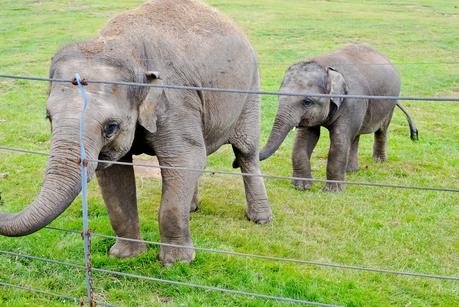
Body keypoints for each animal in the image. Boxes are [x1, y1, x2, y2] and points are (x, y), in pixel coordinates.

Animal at [0, 0, 274, 266]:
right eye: (48, 118)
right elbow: (114, 174)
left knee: (245, 152)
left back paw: (259, 219)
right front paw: (125, 256)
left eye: (111, 127)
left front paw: (176, 263)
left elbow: (184, 159)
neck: (122, 45)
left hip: (251, 90)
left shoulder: (175, 101)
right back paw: (192, 209)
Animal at [258, 44, 416, 192]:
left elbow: (339, 141)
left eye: (307, 102)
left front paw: (331, 191)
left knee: (381, 130)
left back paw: (378, 162)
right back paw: (351, 171)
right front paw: (301, 187)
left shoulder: (352, 102)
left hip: (390, 103)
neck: (326, 67)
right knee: (355, 136)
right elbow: (305, 139)